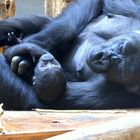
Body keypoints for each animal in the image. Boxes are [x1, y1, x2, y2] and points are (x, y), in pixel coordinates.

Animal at [0, 0, 140, 109]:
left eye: (121, 69)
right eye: (122, 47)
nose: (105, 57)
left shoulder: (122, 94)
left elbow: (44, 98)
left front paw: (44, 72)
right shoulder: (135, 12)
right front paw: (28, 49)